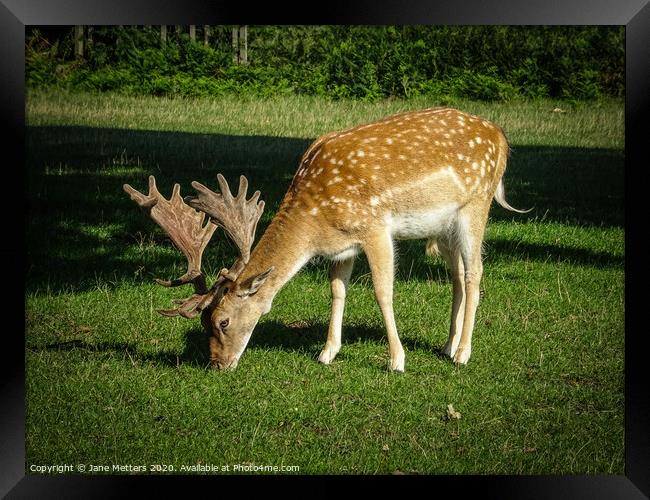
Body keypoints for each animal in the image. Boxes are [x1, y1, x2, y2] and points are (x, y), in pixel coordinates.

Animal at [125, 108, 528, 372]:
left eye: (222, 321)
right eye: (203, 324)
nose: (217, 364)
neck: (314, 222)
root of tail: (501, 137)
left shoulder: (374, 227)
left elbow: (383, 291)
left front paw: (396, 360)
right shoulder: (342, 245)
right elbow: (337, 291)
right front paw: (327, 352)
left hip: (476, 203)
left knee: (475, 273)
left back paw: (462, 353)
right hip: (443, 226)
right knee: (457, 275)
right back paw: (446, 345)